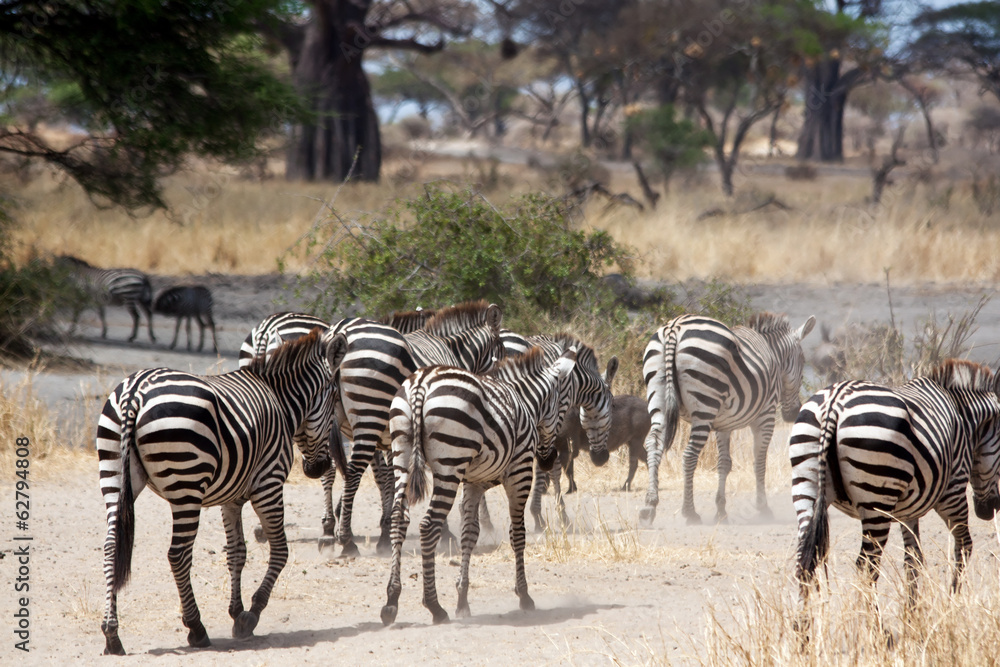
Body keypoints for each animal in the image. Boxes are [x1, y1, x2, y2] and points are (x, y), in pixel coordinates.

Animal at [97, 328, 346, 655]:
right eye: (334, 398)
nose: (319, 468)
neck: (281, 402)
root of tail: (135, 390)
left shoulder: (232, 498)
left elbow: (237, 552)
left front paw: (236, 610)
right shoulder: (268, 484)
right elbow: (280, 550)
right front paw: (251, 614)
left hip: (113, 473)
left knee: (111, 548)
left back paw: (112, 635)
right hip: (186, 486)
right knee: (178, 555)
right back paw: (196, 628)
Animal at [381, 345, 587, 625]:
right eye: (563, 409)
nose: (548, 460)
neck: (527, 402)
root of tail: (421, 383)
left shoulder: (474, 482)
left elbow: (470, 533)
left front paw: (462, 600)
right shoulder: (520, 472)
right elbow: (517, 534)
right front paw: (524, 595)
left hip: (401, 455)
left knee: (399, 520)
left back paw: (391, 601)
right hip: (449, 465)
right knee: (428, 526)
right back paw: (435, 606)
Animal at [641, 312, 816, 525]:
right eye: (803, 361)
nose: (794, 413)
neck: (772, 353)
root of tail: (675, 326)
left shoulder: (723, 424)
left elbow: (724, 463)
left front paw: (721, 511)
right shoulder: (765, 415)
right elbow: (759, 463)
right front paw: (763, 508)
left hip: (659, 396)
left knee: (653, 444)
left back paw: (649, 506)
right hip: (704, 403)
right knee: (689, 455)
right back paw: (690, 512)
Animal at [790, 360, 1000, 605]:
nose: (990, 509)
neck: (965, 417)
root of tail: (835, 401)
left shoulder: (908, 510)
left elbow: (913, 559)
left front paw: (912, 610)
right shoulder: (953, 492)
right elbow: (964, 546)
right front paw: (952, 601)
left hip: (806, 483)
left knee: (804, 561)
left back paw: (804, 617)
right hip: (876, 501)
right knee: (867, 564)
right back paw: (870, 617)